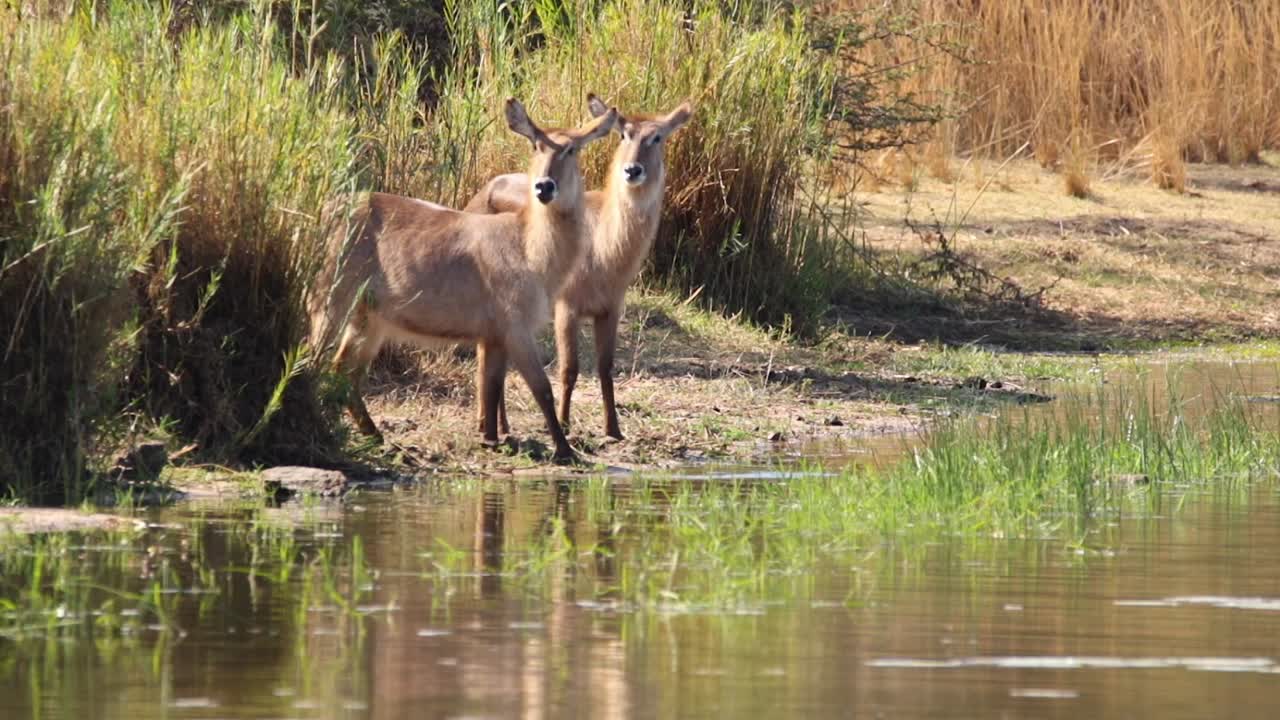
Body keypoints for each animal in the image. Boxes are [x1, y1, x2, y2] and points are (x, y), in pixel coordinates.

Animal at [310, 98, 617, 463]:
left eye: (572, 148)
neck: (528, 247)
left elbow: (492, 385)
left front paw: (493, 439)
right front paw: (565, 450)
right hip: (330, 303)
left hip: (369, 319)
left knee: (344, 371)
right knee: (315, 361)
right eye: (536, 144)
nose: (544, 187)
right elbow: (541, 388)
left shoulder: (495, 334)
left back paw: (377, 437)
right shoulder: (517, 327)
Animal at [465, 95, 693, 440]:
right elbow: (569, 368)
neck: (605, 250)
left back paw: (493, 425)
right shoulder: (567, 307)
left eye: (657, 137)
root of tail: (488, 187)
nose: (632, 170)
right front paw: (565, 423)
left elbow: (606, 367)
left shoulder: (610, 310)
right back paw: (496, 426)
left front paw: (613, 429)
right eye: (623, 134)